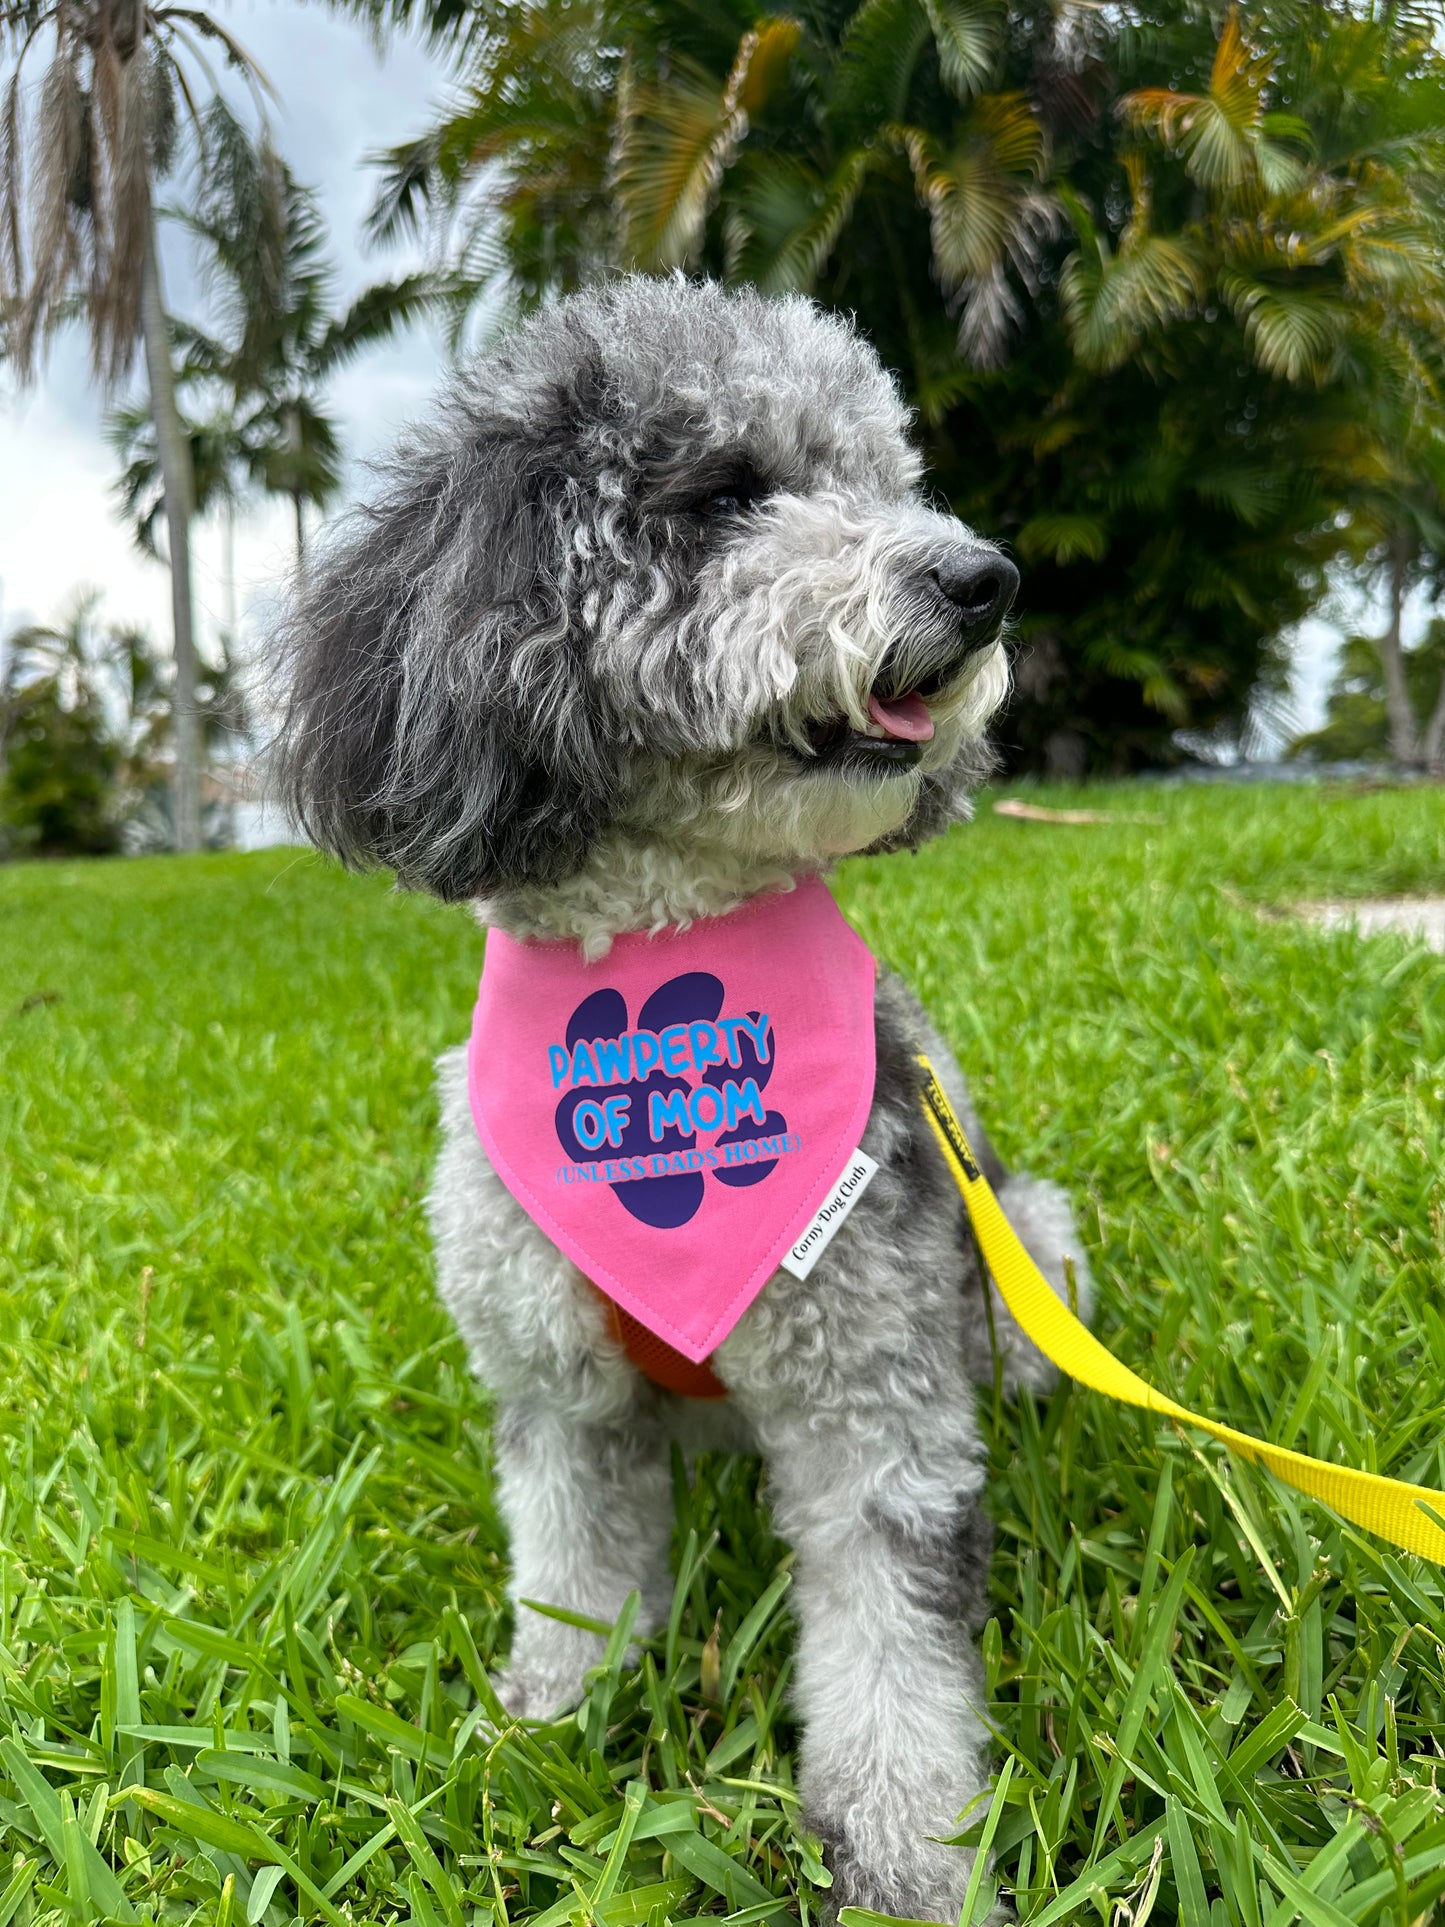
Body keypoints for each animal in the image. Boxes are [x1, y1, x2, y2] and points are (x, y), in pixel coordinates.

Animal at [271, 275, 1094, 1927]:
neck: (665, 961)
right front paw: (549, 1724)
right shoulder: (553, 1391)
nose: (982, 578)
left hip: (1017, 1248)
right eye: (725, 495)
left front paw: (905, 1858)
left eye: (883, 479)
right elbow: (576, 1576)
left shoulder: (875, 1403)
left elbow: (891, 1657)